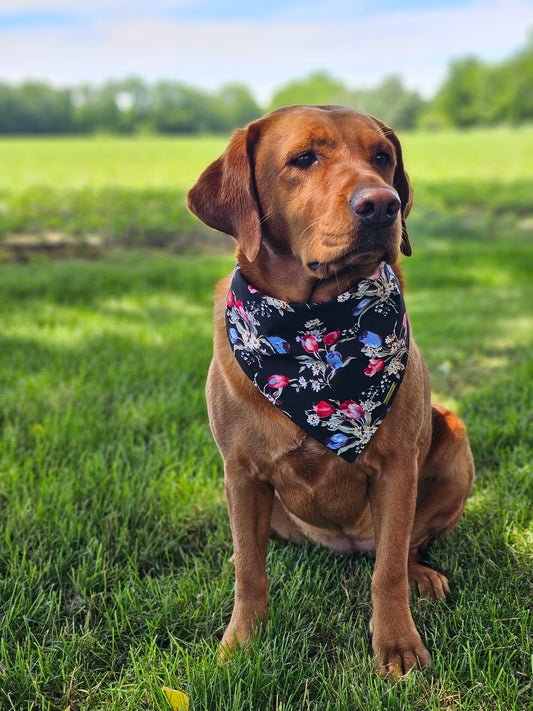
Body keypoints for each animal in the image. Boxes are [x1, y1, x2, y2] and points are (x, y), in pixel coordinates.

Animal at [188, 105, 474, 680]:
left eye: (382, 157)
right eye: (303, 158)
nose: (382, 204)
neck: (314, 327)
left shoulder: (397, 469)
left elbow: (387, 572)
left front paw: (397, 645)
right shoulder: (240, 472)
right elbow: (251, 572)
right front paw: (242, 642)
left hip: (454, 441)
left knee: (404, 549)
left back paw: (422, 575)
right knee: (252, 548)